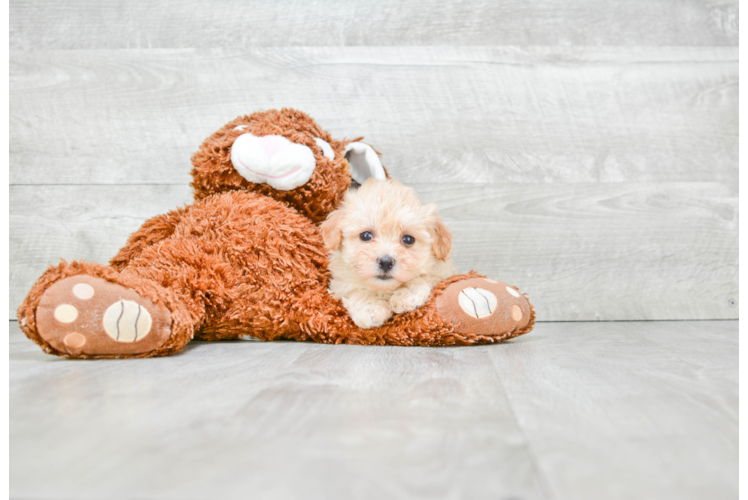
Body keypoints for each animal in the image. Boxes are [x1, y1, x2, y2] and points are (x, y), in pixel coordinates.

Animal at [318, 179, 452, 328]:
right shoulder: (340, 285)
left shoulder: (442, 273)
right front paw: (370, 309)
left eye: (408, 239)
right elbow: (355, 290)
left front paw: (405, 296)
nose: (386, 262)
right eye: (366, 236)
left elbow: (422, 278)